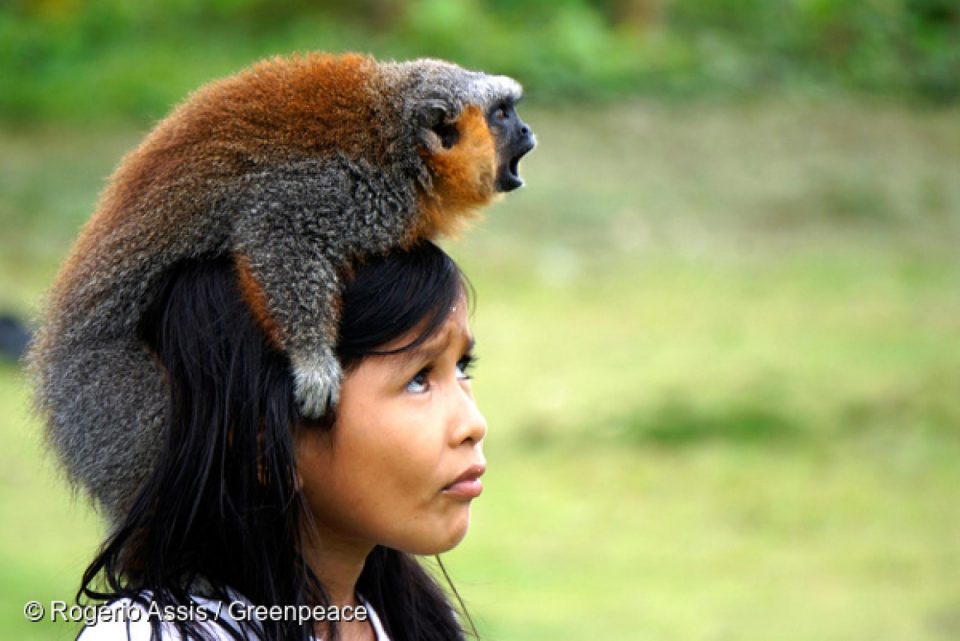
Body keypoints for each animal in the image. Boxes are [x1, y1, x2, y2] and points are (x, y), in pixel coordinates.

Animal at [26, 50, 536, 520]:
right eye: (502, 115)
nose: (529, 130)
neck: (404, 148)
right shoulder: (356, 188)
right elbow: (274, 228)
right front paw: (311, 359)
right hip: (104, 395)